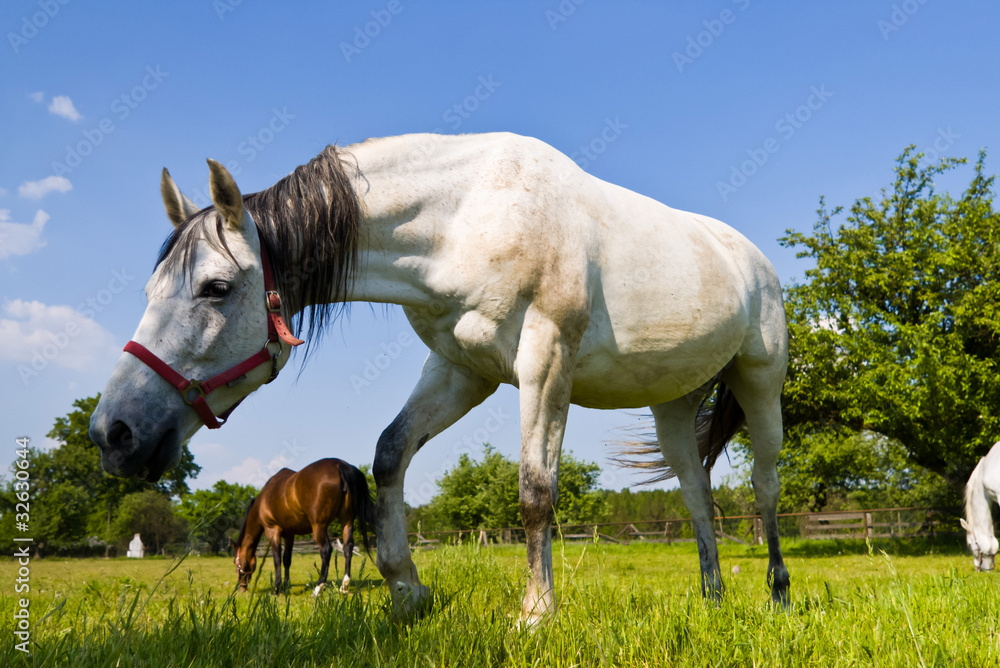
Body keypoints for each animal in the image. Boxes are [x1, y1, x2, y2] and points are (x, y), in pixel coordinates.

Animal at [232, 458, 376, 595]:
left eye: (235, 562)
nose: (241, 587)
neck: (263, 501)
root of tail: (340, 465)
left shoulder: (272, 530)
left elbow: (277, 559)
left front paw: (276, 589)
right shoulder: (289, 534)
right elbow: (287, 559)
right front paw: (285, 588)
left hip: (319, 526)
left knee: (326, 550)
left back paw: (318, 588)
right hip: (347, 521)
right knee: (348, 548)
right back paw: (344, 587)